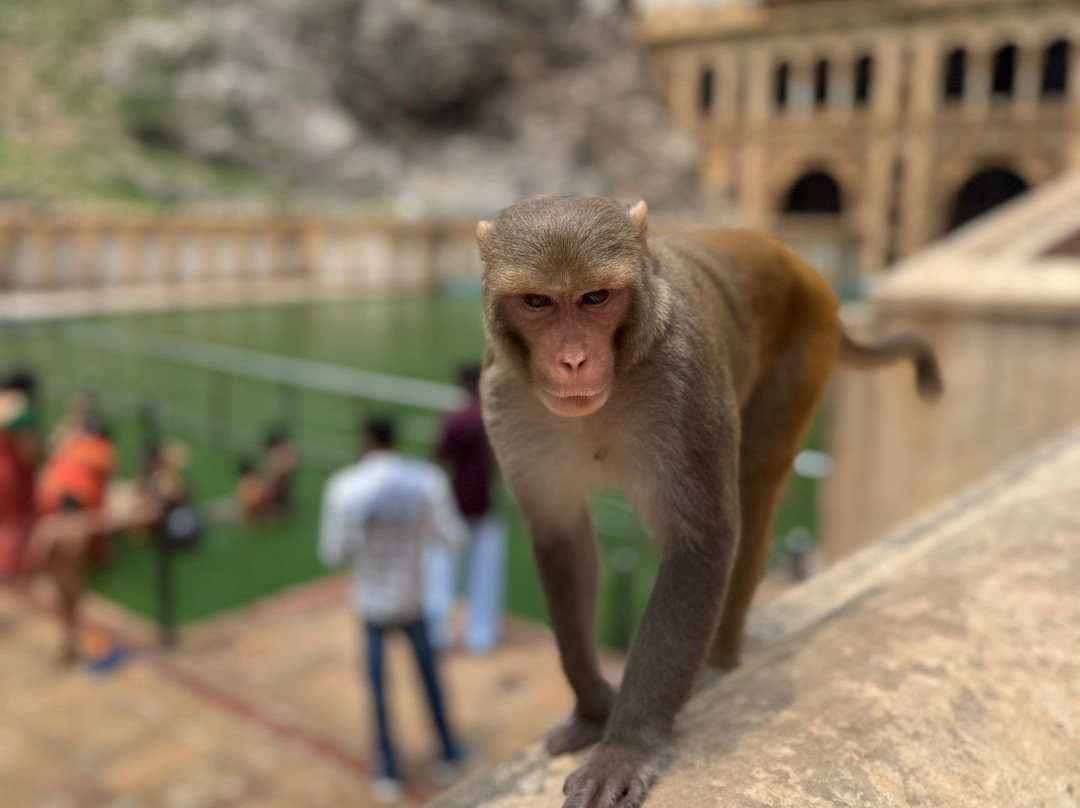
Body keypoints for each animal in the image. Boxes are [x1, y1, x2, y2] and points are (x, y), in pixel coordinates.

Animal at [475, 196, 941, 808]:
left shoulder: (685, 384)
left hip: (805, 347)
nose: (572, 360)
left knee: (754, 487)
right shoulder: (505, 399)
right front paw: (594, 707)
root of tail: (802, 265)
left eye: (595, 297)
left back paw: (718, 662)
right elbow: (562, 541)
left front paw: (627, 743)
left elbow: (703, 542)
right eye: (538, 302)